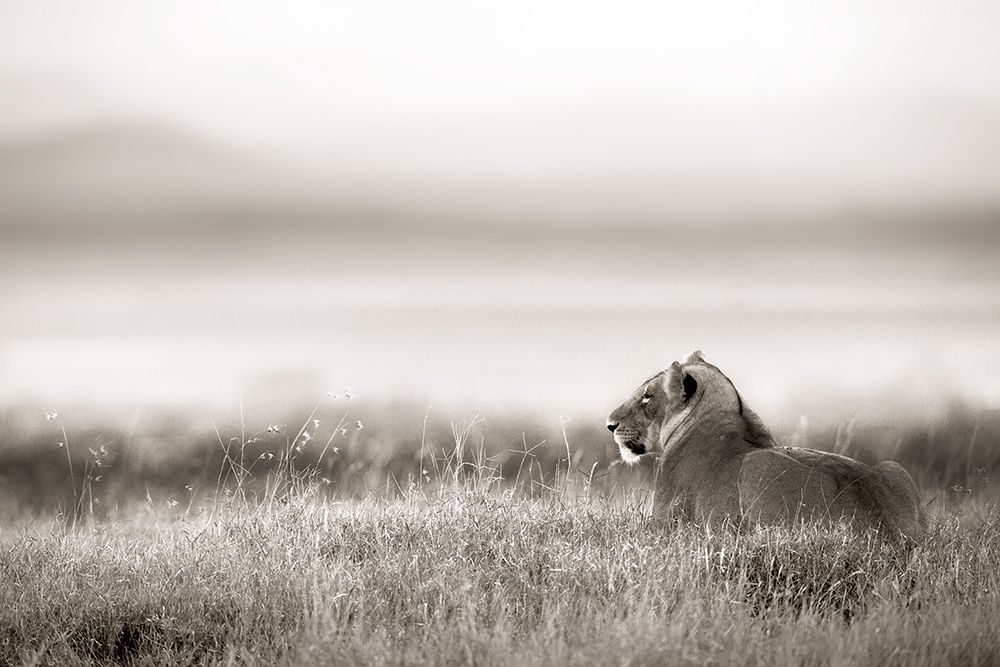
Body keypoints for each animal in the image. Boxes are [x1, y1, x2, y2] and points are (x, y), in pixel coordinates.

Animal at [607, 351, 926, 541]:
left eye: (647, 396)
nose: (610, 424)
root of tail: (887, 531)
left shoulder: (662, 524)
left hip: (755, 466)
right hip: (894, 467)